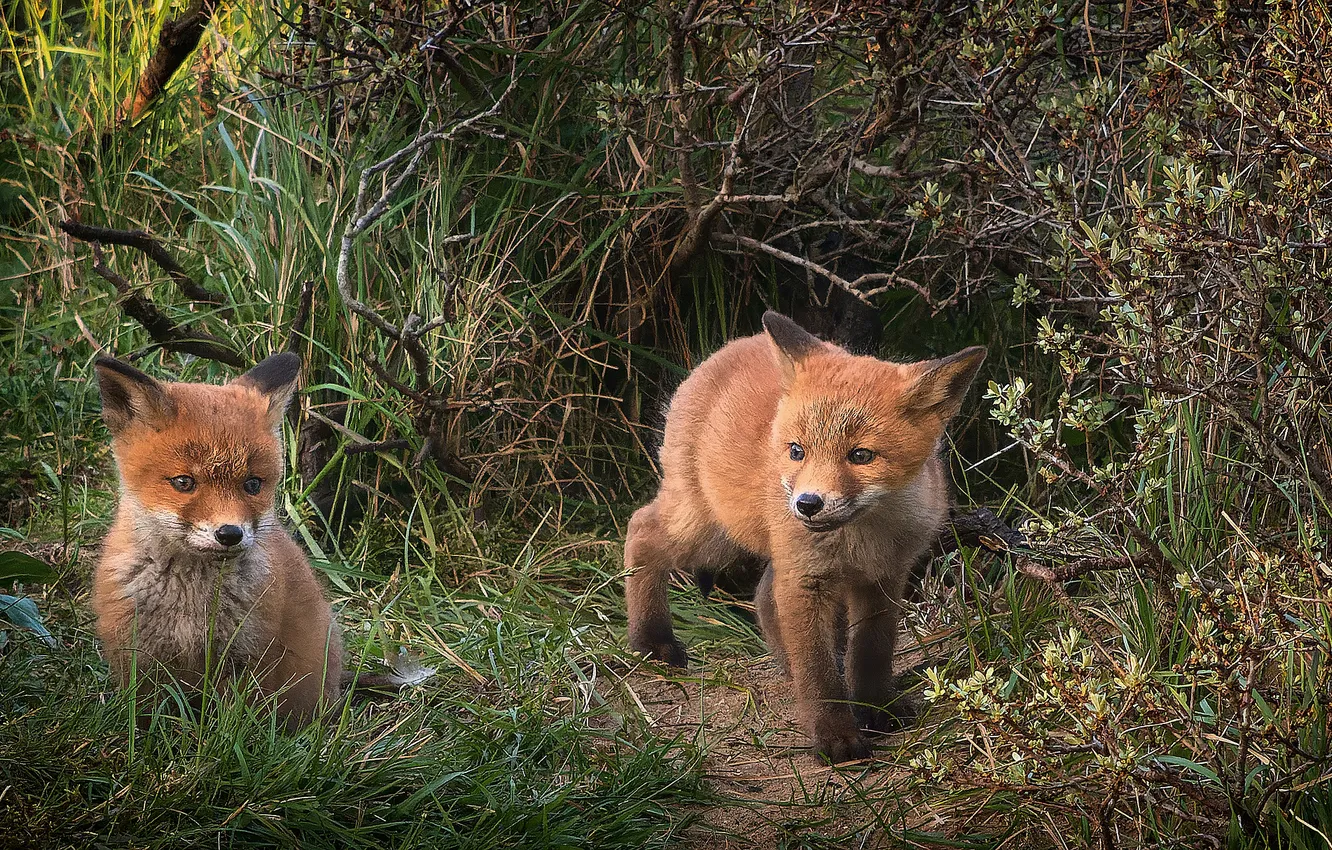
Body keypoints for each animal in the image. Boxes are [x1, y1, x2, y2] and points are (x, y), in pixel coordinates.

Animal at [92, 352, 342, 727]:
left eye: (253, 484)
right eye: (183, 482)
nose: (230, 534)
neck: (189, 602)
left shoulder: (246, 654)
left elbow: (232, 725)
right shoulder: (136, 653)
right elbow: (143, 718)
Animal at [624, 311, 985, 763]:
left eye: (861, 456)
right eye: (797, 451)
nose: (807, 504)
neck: (862, 539)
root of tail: (734, 344)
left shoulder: (884, 577)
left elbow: (872, 649)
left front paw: (875, 708)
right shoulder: (804, 580)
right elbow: (818, 671)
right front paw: (835, 735)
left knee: (762, 594)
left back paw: (782, 663)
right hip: (709, 532)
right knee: (641, 529)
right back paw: (651, 641)